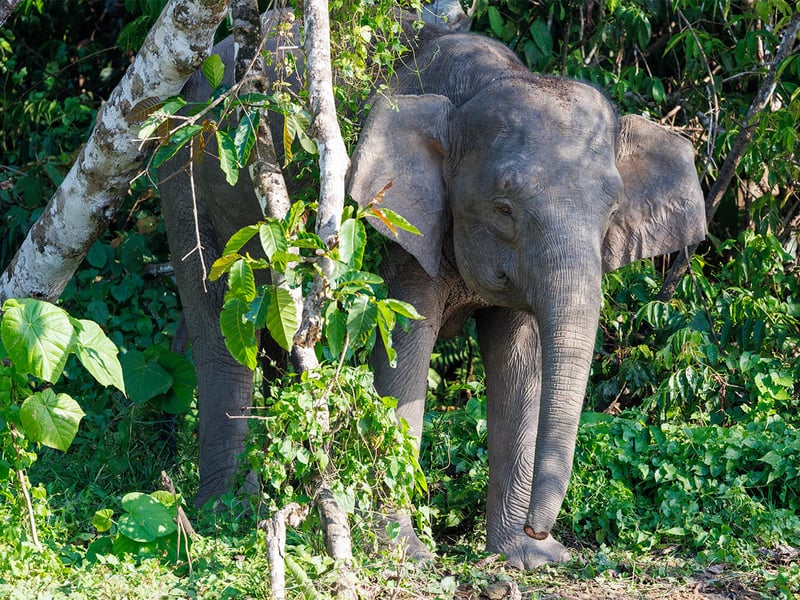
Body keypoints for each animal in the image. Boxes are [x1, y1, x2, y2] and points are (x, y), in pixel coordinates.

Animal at [158, 8, 706, 569]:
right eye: (504, 208)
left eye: (611, 209)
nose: (540, 530)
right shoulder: (399, 226)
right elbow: (403, 354)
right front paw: (405, 555)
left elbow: (520, 363)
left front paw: (527, 559)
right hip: (185, 173)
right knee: (218, 331)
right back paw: (227, 513)